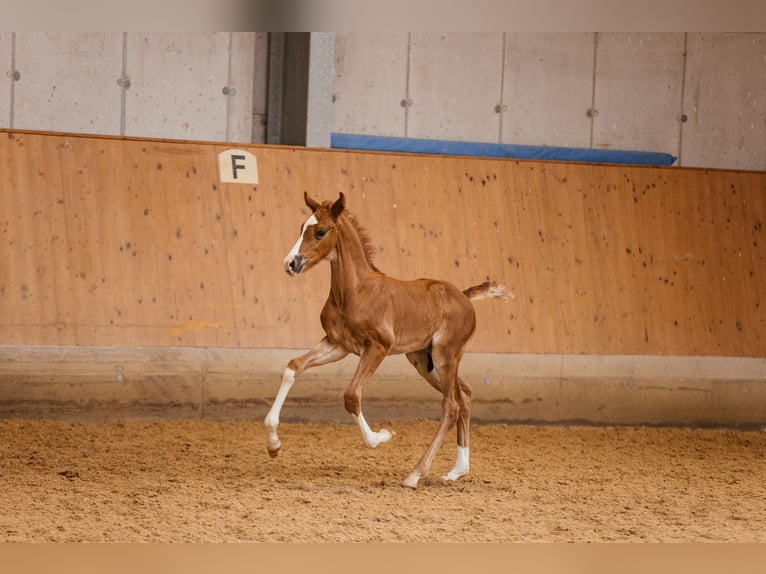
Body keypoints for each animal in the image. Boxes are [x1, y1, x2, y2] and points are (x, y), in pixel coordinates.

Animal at [264, 194, 510, 490]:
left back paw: (415, 474)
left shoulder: (378, 347)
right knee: (465, 395)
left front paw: (383, 436)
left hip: (445, 355)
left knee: (451, 406)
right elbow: (293, 367)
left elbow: (351, 396)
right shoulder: (337, 345)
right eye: (302, 227)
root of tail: (463, 296)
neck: (356, 291)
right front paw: (273, 445)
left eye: (320, 231)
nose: (290, 263)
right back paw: (457, 470)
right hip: (424, 361)